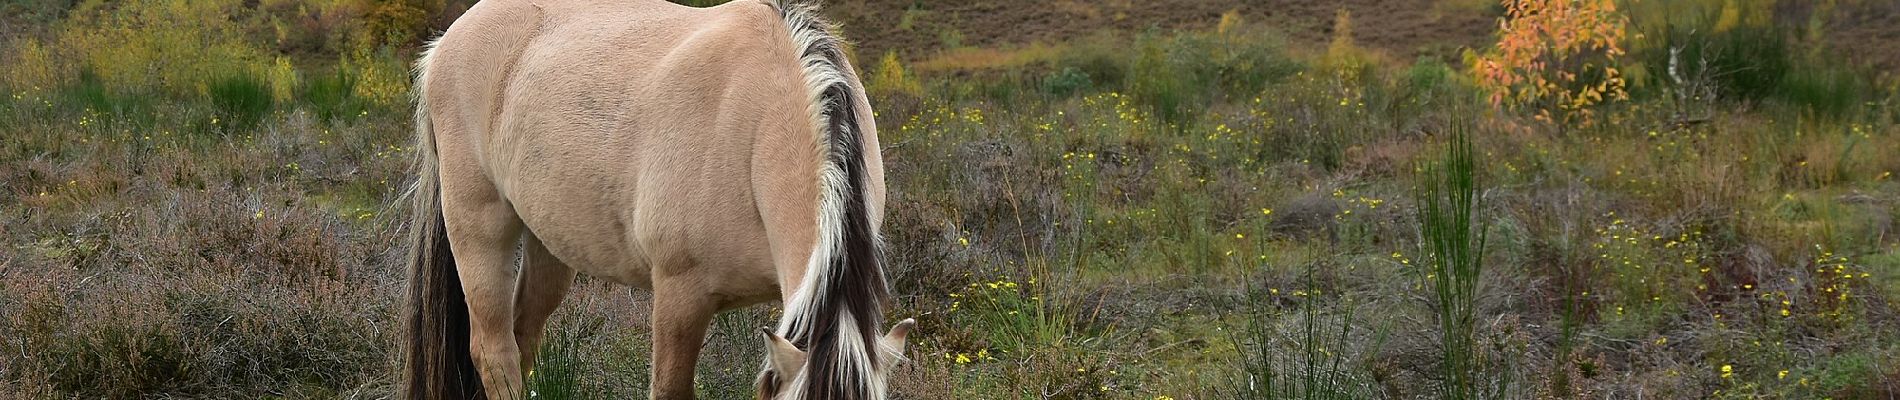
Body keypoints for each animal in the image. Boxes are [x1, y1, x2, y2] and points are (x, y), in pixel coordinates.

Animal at [400, 1, 912, 398]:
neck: (758, 124)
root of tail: (449, 41)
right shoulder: (680, 296)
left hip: (549, 242)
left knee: (523, 335)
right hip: (478, 224)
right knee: (495, 351)